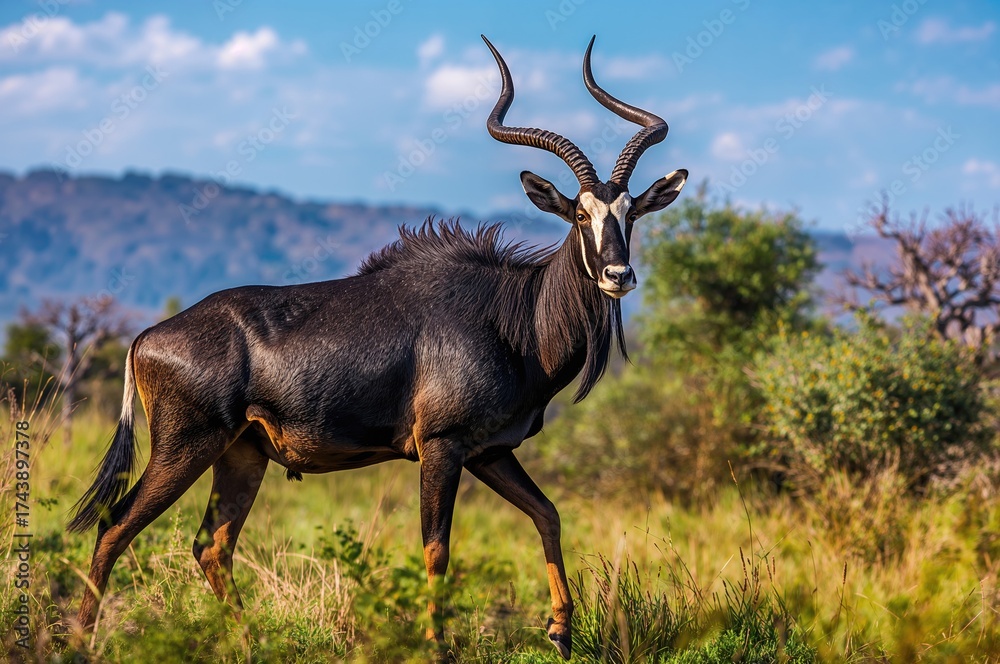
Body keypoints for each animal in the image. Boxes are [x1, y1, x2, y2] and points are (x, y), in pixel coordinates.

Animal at [69, 35, 687, 659]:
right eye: (580, 213)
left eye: (631, 212)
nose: (618, 275)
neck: (512, 318)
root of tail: (145, 340)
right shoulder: (442, 447)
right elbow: (437, 549)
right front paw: (439, 647)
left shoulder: (489, 451)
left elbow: (549, 513)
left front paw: (561, 631)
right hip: (184, 448)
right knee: (114, 526)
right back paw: (81, 640)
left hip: (240, 455)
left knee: (211, 545)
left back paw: (248, 643)